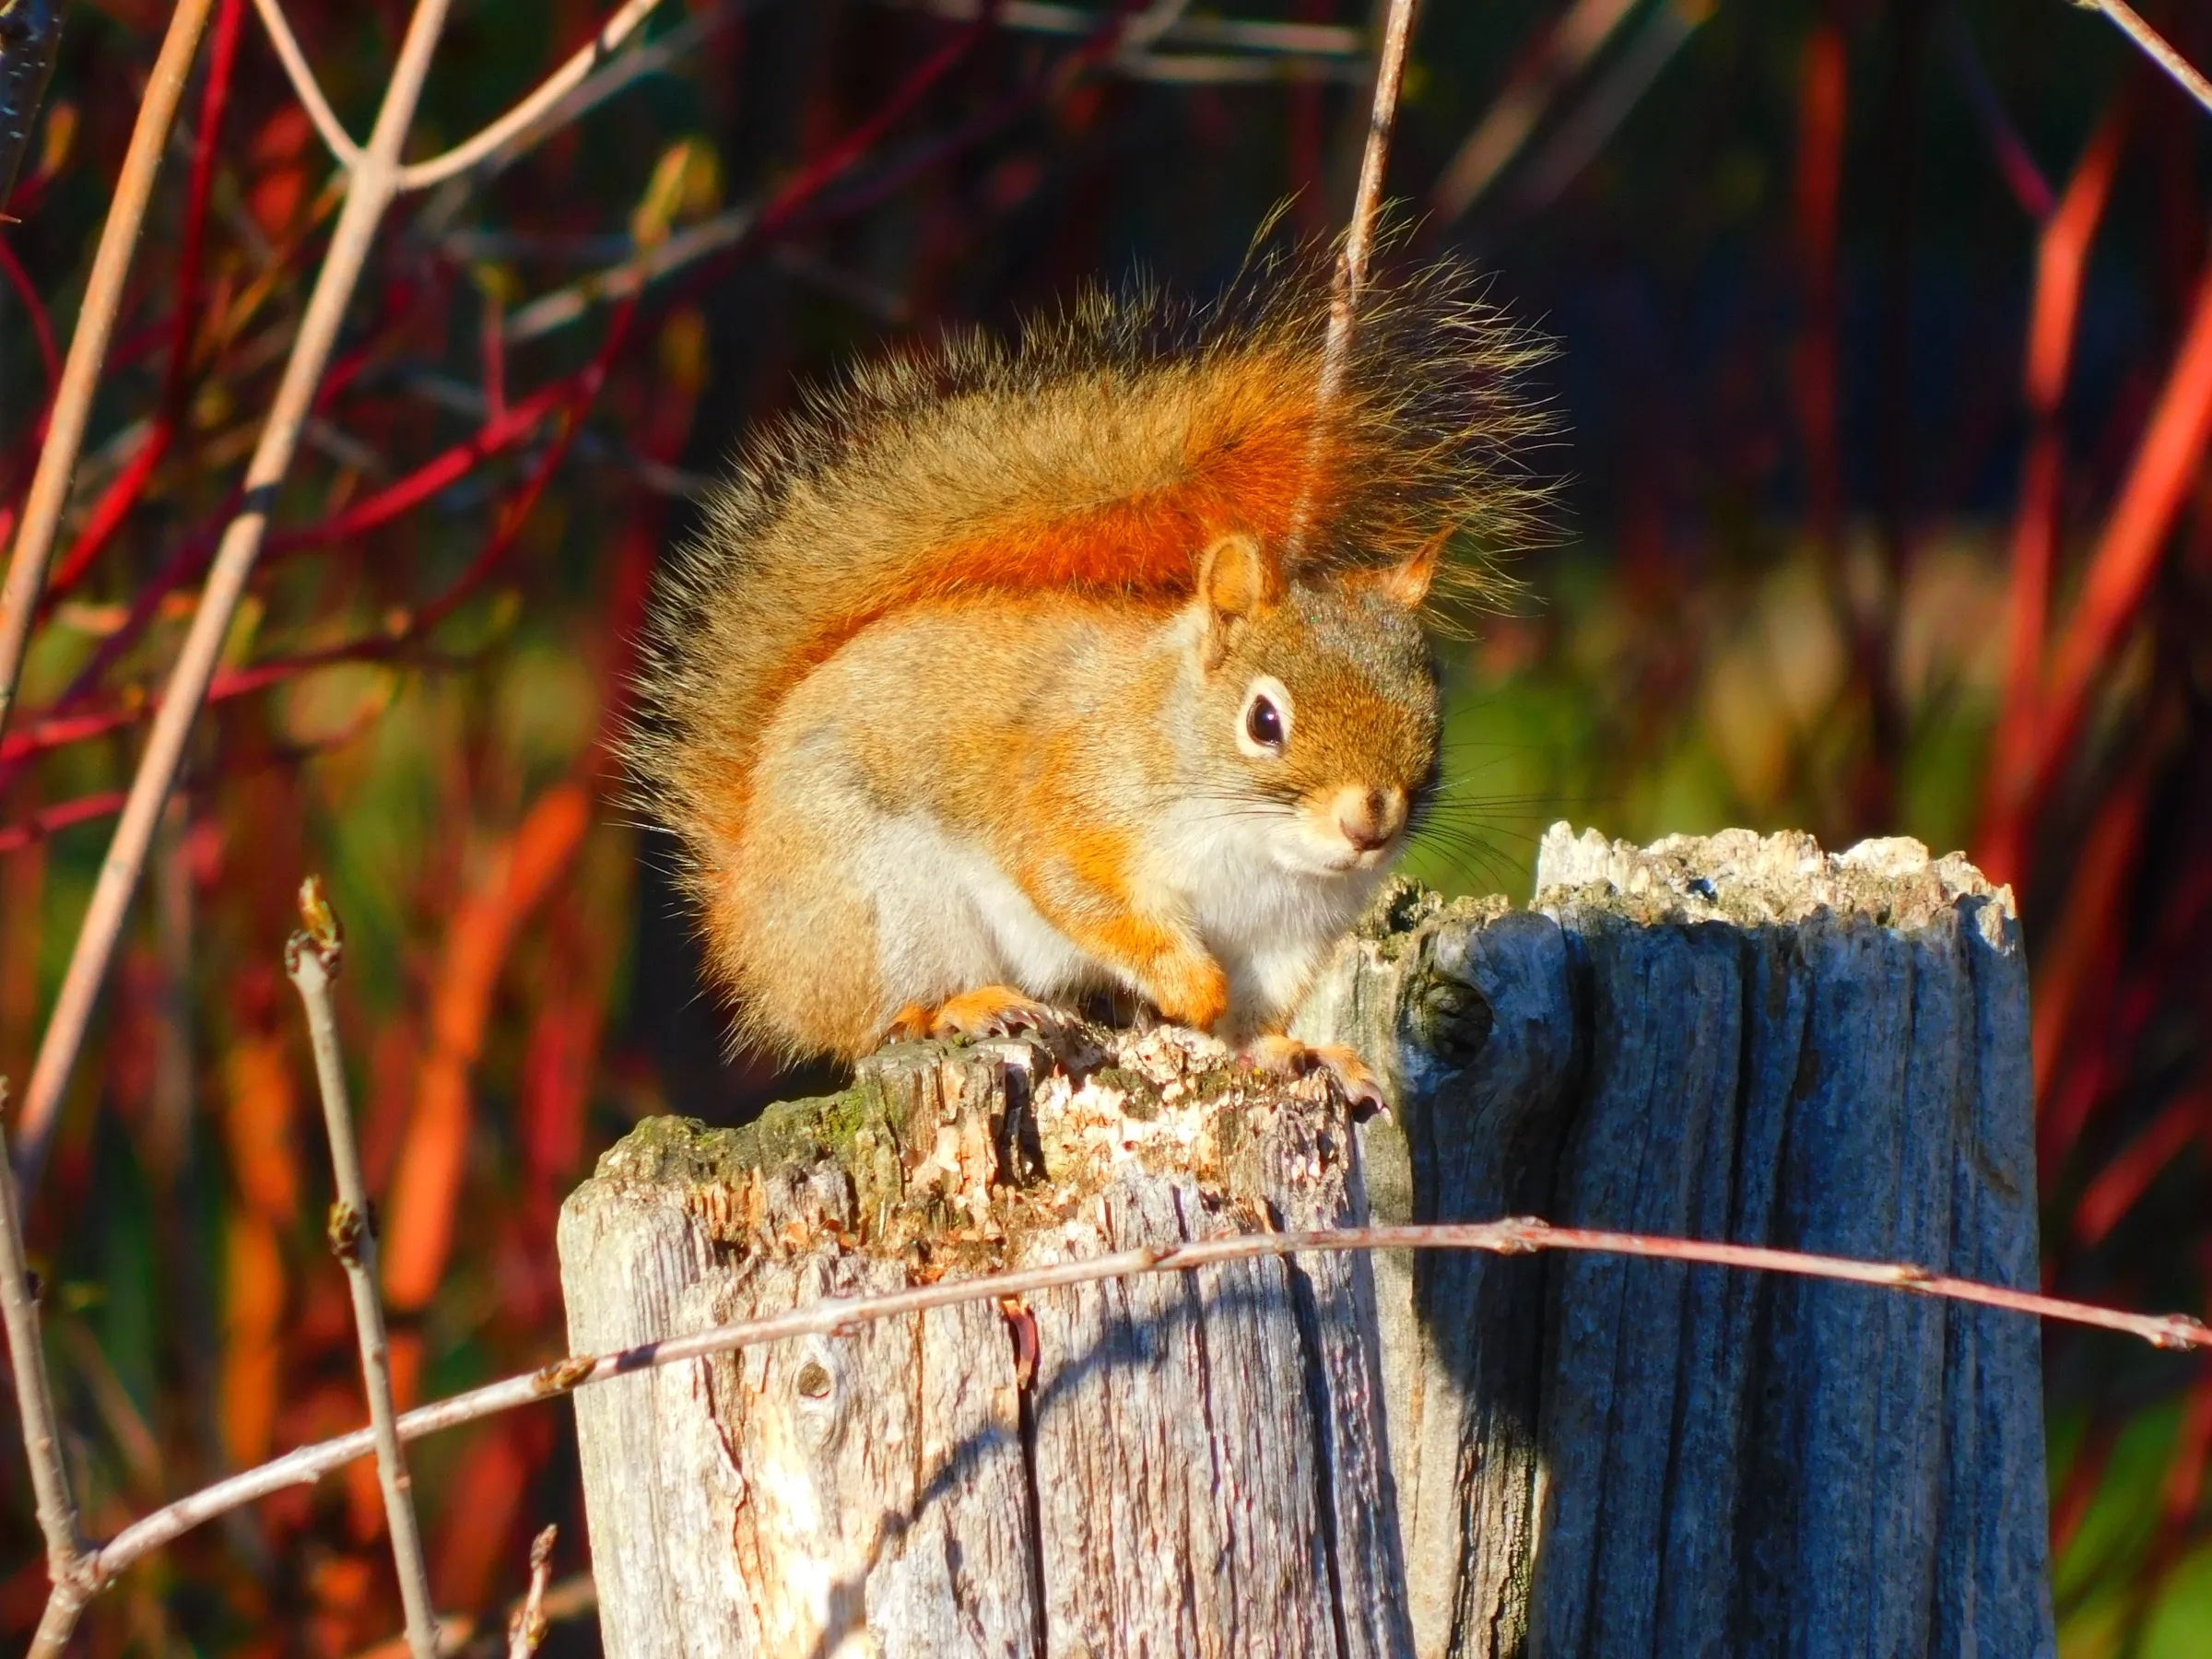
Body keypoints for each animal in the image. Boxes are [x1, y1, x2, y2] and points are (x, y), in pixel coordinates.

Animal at [629, 251, 1547, 1103]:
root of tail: (745, 921)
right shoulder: (1072, 800)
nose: (1369, 824)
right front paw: (1191, 987)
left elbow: (1258, 1019)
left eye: (1433, 709)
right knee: (875, 1021)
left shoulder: (1287, 938)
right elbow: (1080, 892)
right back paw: (964, 1004)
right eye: (1264, 721)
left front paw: (1295, 1049)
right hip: (884, 905)